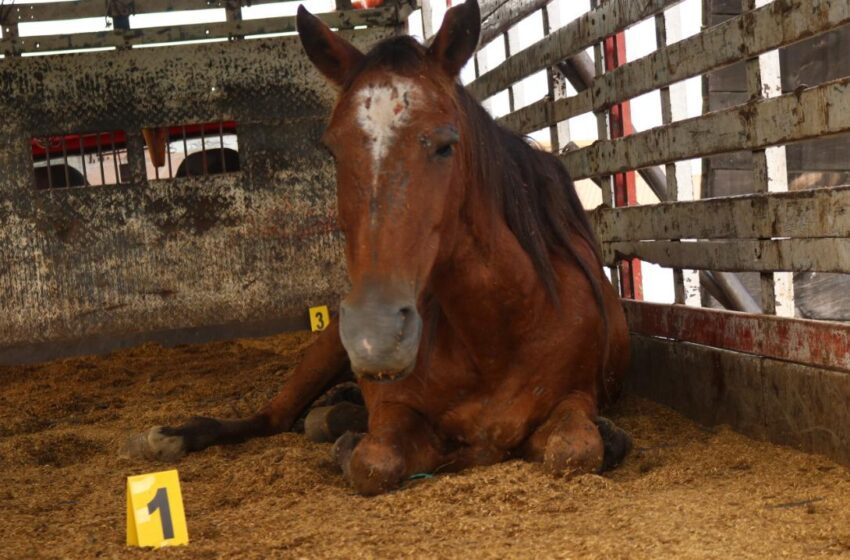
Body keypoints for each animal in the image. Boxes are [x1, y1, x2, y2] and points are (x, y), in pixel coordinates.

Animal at [126, 0, 628, 496]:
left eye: (446, 144)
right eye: (331, 150)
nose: (376, 335)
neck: (500, 330)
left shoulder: (576, 398)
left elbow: (575, 450)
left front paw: (607, 438)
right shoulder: (392, 410)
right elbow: (374, 462)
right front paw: (350, 445)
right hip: (326, 349)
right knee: (273, 417)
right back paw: (181, 434)